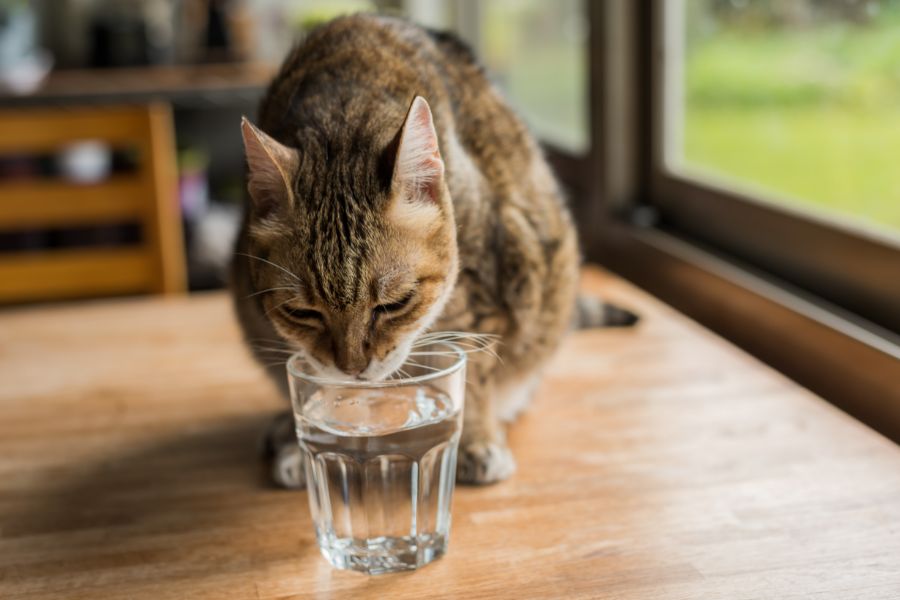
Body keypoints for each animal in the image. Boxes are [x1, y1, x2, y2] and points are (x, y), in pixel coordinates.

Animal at [229, 14, 628, 490]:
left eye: (395, 303)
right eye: (302, 312)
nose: (353, 369)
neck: (344, 109)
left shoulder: (486, 287)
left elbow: (472, 371)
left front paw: (475, 437)